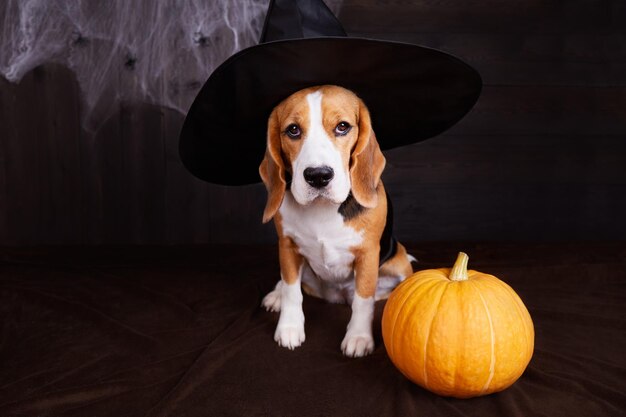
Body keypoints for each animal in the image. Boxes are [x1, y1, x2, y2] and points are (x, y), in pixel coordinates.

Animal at [260, 85, 414, 358]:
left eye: (343, 126)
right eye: (293, 130)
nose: (318, 176)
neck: (322, 209)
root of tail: (336, 296)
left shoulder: (368, 255)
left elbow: (364, 299)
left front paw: (359, 337)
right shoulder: (286, 246)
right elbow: (291, 290)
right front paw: (289, 328)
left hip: (400, 263)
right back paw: (275, 295)